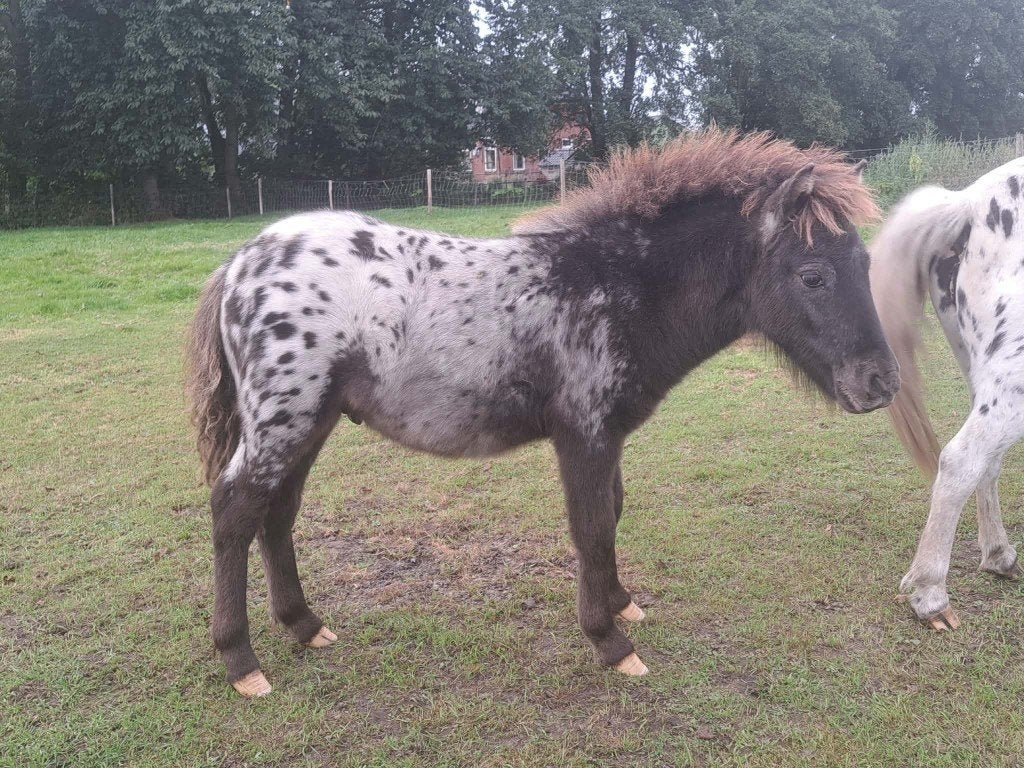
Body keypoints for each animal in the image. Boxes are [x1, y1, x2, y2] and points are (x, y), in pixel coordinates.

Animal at [185, 128, 898, 697]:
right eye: (812, 275)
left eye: (866, 262)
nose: (881, 382)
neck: (616, 288)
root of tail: (240, 262)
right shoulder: (583, 433)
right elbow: (592, 526)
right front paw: (612, 643)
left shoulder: (608, 434)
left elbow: (612, 513)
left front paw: (623, 604)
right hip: (284, 420)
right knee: (234, 510)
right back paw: (243, 663)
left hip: (310, 422)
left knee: (277, 514)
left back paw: (305, 627)